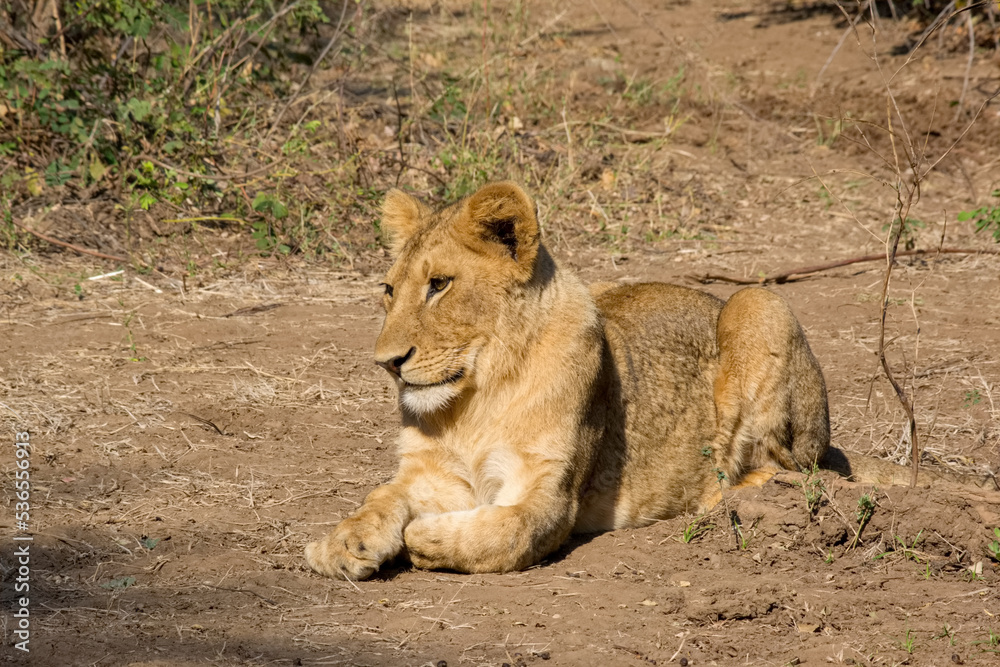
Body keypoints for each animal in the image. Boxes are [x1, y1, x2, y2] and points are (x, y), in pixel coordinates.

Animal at [305, 181, 996, 581]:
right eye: (388, 290)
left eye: (440, 284)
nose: (386, 362)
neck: (474, 397)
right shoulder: (428, 475)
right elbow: (381, 498)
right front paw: (343, 542)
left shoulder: (549, 494)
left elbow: (505, 532)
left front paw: (426, 538)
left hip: (758, 305)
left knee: (793, 471)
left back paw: (724, 498)